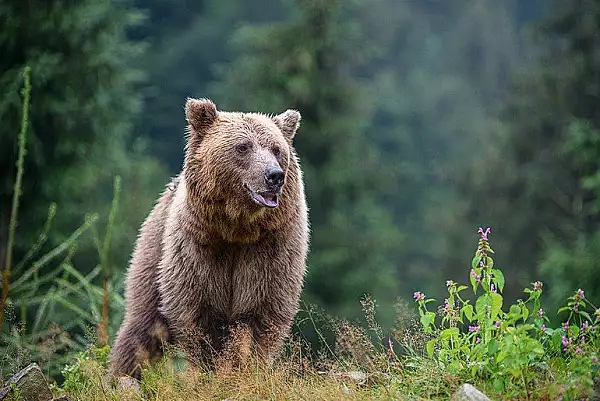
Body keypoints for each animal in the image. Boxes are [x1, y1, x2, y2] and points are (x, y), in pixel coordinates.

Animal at [109, 97, 310, 378]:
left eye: (277, 149)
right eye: (243, 147)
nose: (274, 176)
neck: (237, 229)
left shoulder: (270, 249)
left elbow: (261, 314)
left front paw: (245, 367)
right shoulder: (197, 251)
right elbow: (198, 315)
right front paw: (213, 369)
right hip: (154, 252)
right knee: (142, 328)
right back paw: (122, 375)